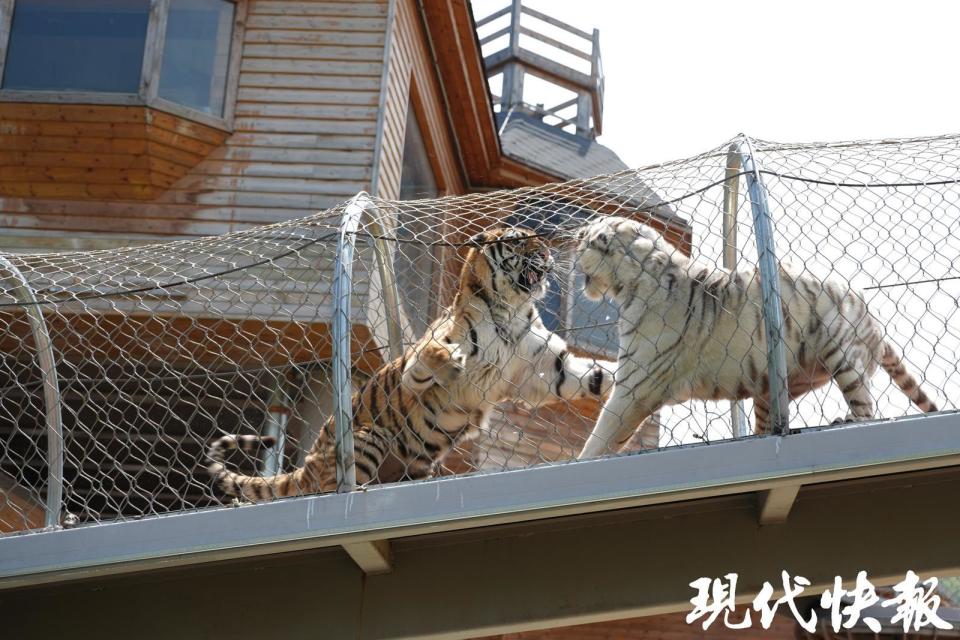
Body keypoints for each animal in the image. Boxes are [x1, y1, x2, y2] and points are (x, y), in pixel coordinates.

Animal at [208, 228, 616, 502]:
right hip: (366, 438)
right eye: (518, 241)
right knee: (327, 490)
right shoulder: (423, 358)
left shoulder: (544, 370)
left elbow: (593, 376)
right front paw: (452, 361)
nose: (546, 251)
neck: (510, 309)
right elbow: (432, 356)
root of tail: (306, 467)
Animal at [568, 216, 936, 460]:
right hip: (772, 386)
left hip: (842, 352)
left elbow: (605, 428)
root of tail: (875, 325)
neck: (630, 283)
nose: (574, 235)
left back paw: (847, 419)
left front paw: (581, 460)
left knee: (866, 407)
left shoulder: (639, 382)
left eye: (587, 235)